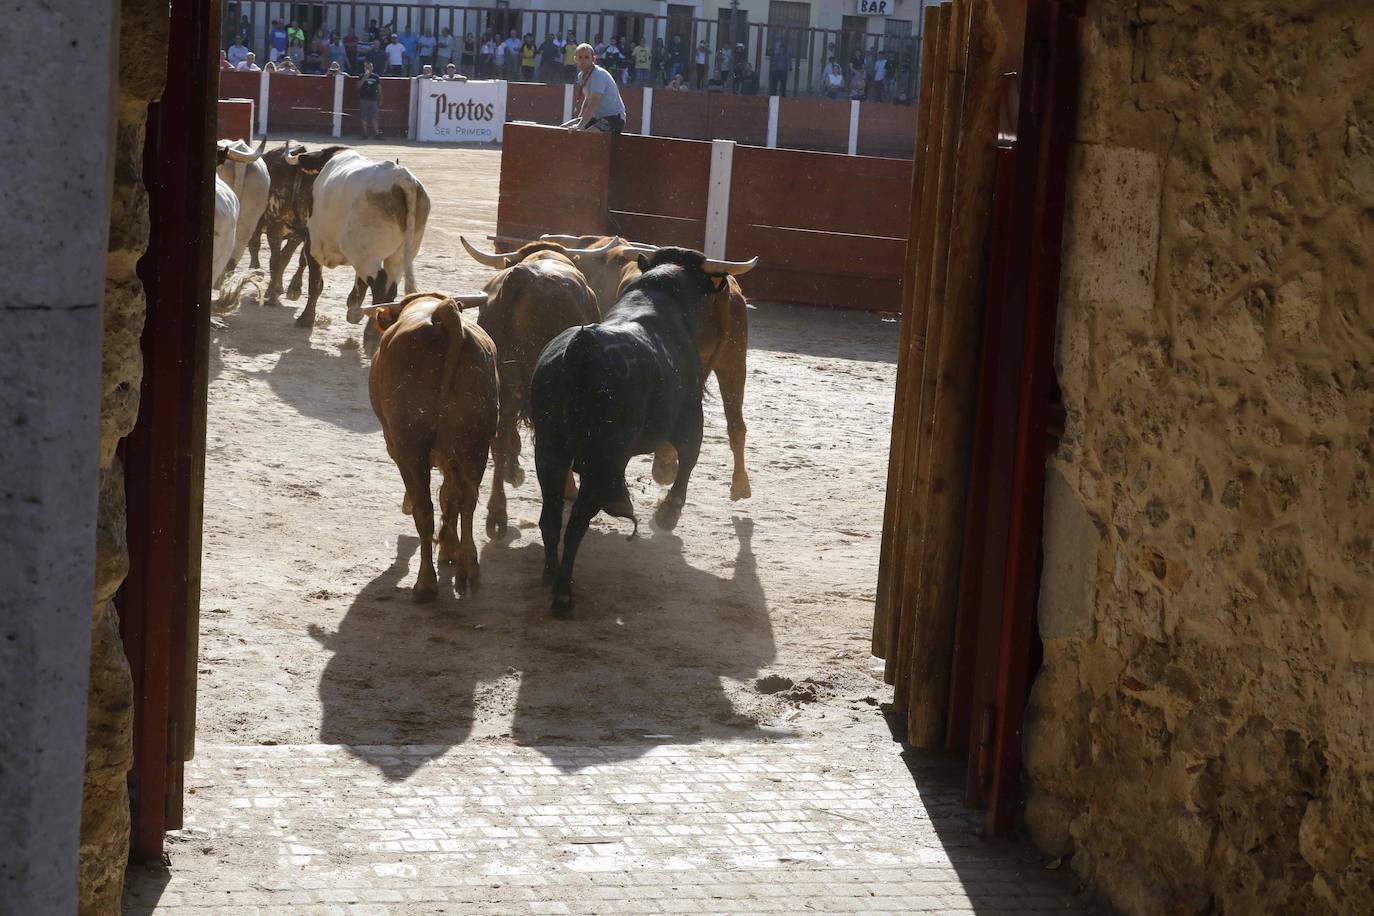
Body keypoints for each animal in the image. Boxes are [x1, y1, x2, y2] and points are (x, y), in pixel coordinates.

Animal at [280, 140, 425, 329]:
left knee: (379, 284)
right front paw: (353, 309)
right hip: (397, 257)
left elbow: (315, 283)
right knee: (390, 287)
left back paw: (371, 332)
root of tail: (402, 179)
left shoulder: (313, 245)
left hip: (367, 256)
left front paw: (306, 318)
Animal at [368, 289, 497, 598]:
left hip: (411, 445)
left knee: (424, 510)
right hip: (474, 442)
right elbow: (450, 495)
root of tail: (443, 312)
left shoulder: (400, 444)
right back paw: (468, 568)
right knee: (467, 499)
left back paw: (425, 584)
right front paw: (450, 547)